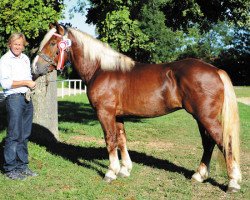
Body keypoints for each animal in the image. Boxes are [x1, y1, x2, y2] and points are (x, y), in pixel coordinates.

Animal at [32, 23, 241, 192]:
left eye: (53, 43)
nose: (35, 69)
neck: (101, 69)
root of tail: (216, 70)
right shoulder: (117, 115)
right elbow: (122, 140)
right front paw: (125, 170)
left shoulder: (105, 113)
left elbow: (110, 140)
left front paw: (111, 172)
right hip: (200, 118)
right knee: (209, 143)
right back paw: (199, 175)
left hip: (206, 117)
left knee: (225, 143)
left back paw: (233, 182)